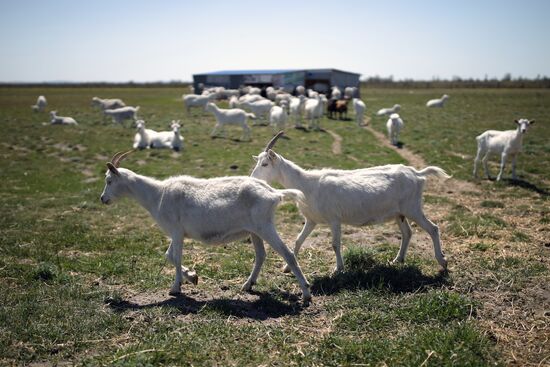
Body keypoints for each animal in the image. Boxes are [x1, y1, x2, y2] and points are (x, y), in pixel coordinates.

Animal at [252, 134, 450, 274]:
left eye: (265, 164)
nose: (253, 178)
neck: (308, 185)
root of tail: (417, 174)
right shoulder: (311, 220)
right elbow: (298, 240)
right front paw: (287, 268)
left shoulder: (334, 219)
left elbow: (335, 244)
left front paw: (338, 269)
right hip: (399, 213)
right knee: (407, 233)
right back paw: (398, 260)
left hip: (413, 208)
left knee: (433, 229)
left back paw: (442, 261)